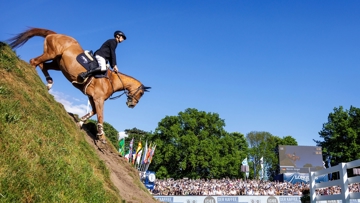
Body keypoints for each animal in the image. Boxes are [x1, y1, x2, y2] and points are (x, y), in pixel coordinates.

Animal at [7, 27, 150, 143]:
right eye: (141, 93)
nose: (132, 105)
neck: (112, 81)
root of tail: (56, 34)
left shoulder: (93, 97)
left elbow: (93, 112)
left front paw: (81, 122)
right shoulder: (98, 98)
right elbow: (100, 116)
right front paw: (101, 136)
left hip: (57, 63)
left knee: (43, 65)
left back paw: (48, 83)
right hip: (51, 54)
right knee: (34, 61)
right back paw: (30, 76)